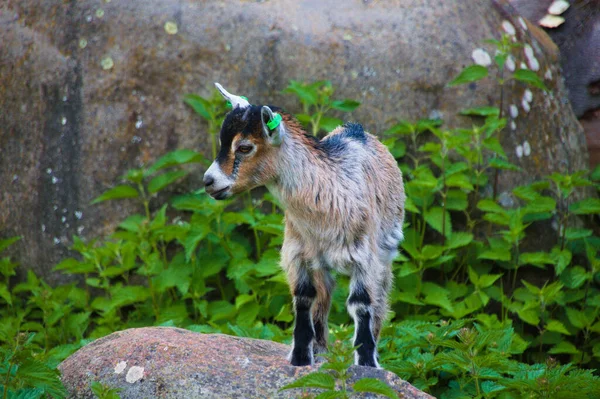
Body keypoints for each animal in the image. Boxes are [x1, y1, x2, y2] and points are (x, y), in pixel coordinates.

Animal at [204, 84, 406, 368]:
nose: (208, 181)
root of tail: (357, 129)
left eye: (244, 147)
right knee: (323, 297)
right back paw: (321, 351)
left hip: (385, 253)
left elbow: (361, 303)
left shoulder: (364, 257)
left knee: (380, 299)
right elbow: (303, 298)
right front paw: (300, 358)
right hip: (320, 262)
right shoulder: (297, 253)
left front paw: (367, 362)